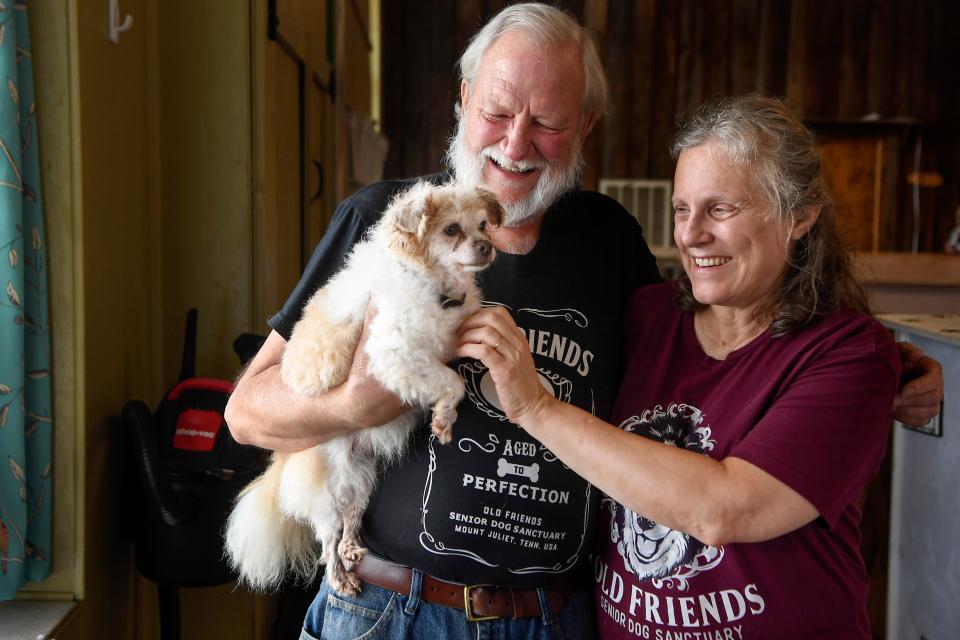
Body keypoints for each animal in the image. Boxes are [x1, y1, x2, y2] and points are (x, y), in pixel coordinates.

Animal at [226, 179, 502, 596]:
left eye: (484, 225)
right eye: (452, 230)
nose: (486, 246)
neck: (433, 283)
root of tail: (284, 459)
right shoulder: (394, 353)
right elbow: (452, 382)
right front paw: (443, 418)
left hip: (361, 479)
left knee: (350, 521)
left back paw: (353, 548)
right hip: (328, 488)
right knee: (327, 541)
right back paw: (341, 577)